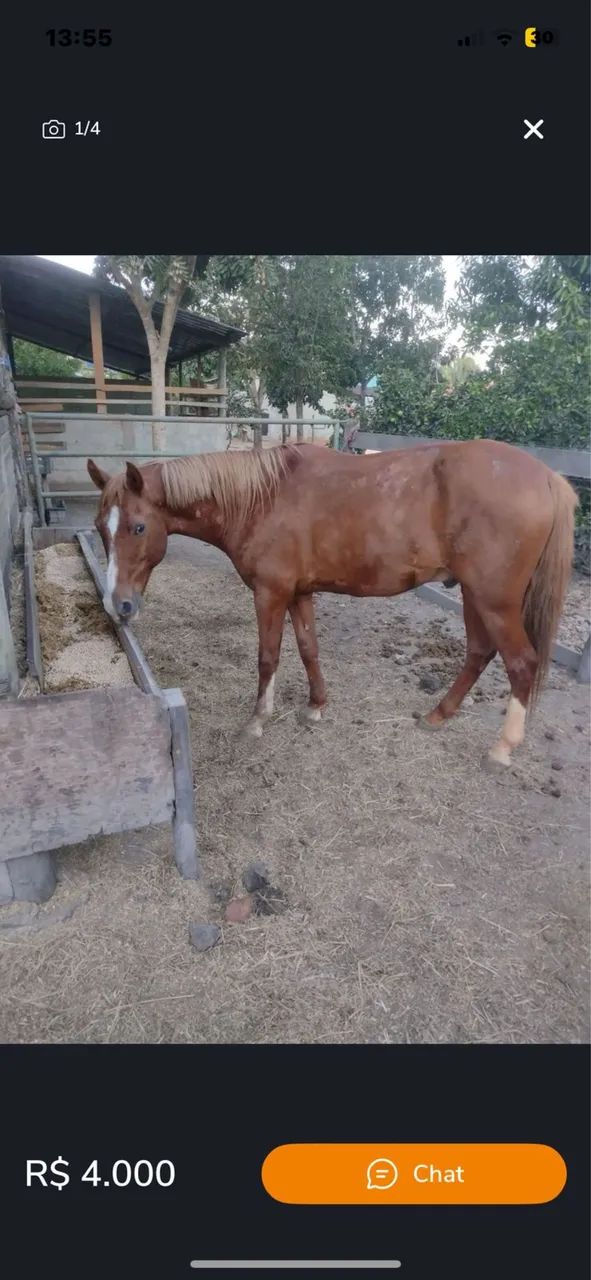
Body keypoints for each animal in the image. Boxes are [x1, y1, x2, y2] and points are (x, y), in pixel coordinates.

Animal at [87, 439, 577, 768]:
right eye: (98, 526)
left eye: (136, 527)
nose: (119, 605)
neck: (261, 499)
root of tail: (547, 477)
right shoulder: (299, 593)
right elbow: (309, 649)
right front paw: (315, 706)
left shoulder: (270, 593)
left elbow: (268, 657)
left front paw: (258, 720)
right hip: (473, 596)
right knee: (479, 652)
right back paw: (438, 715)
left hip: (494, 600)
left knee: (521, 663)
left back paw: (502, 748)